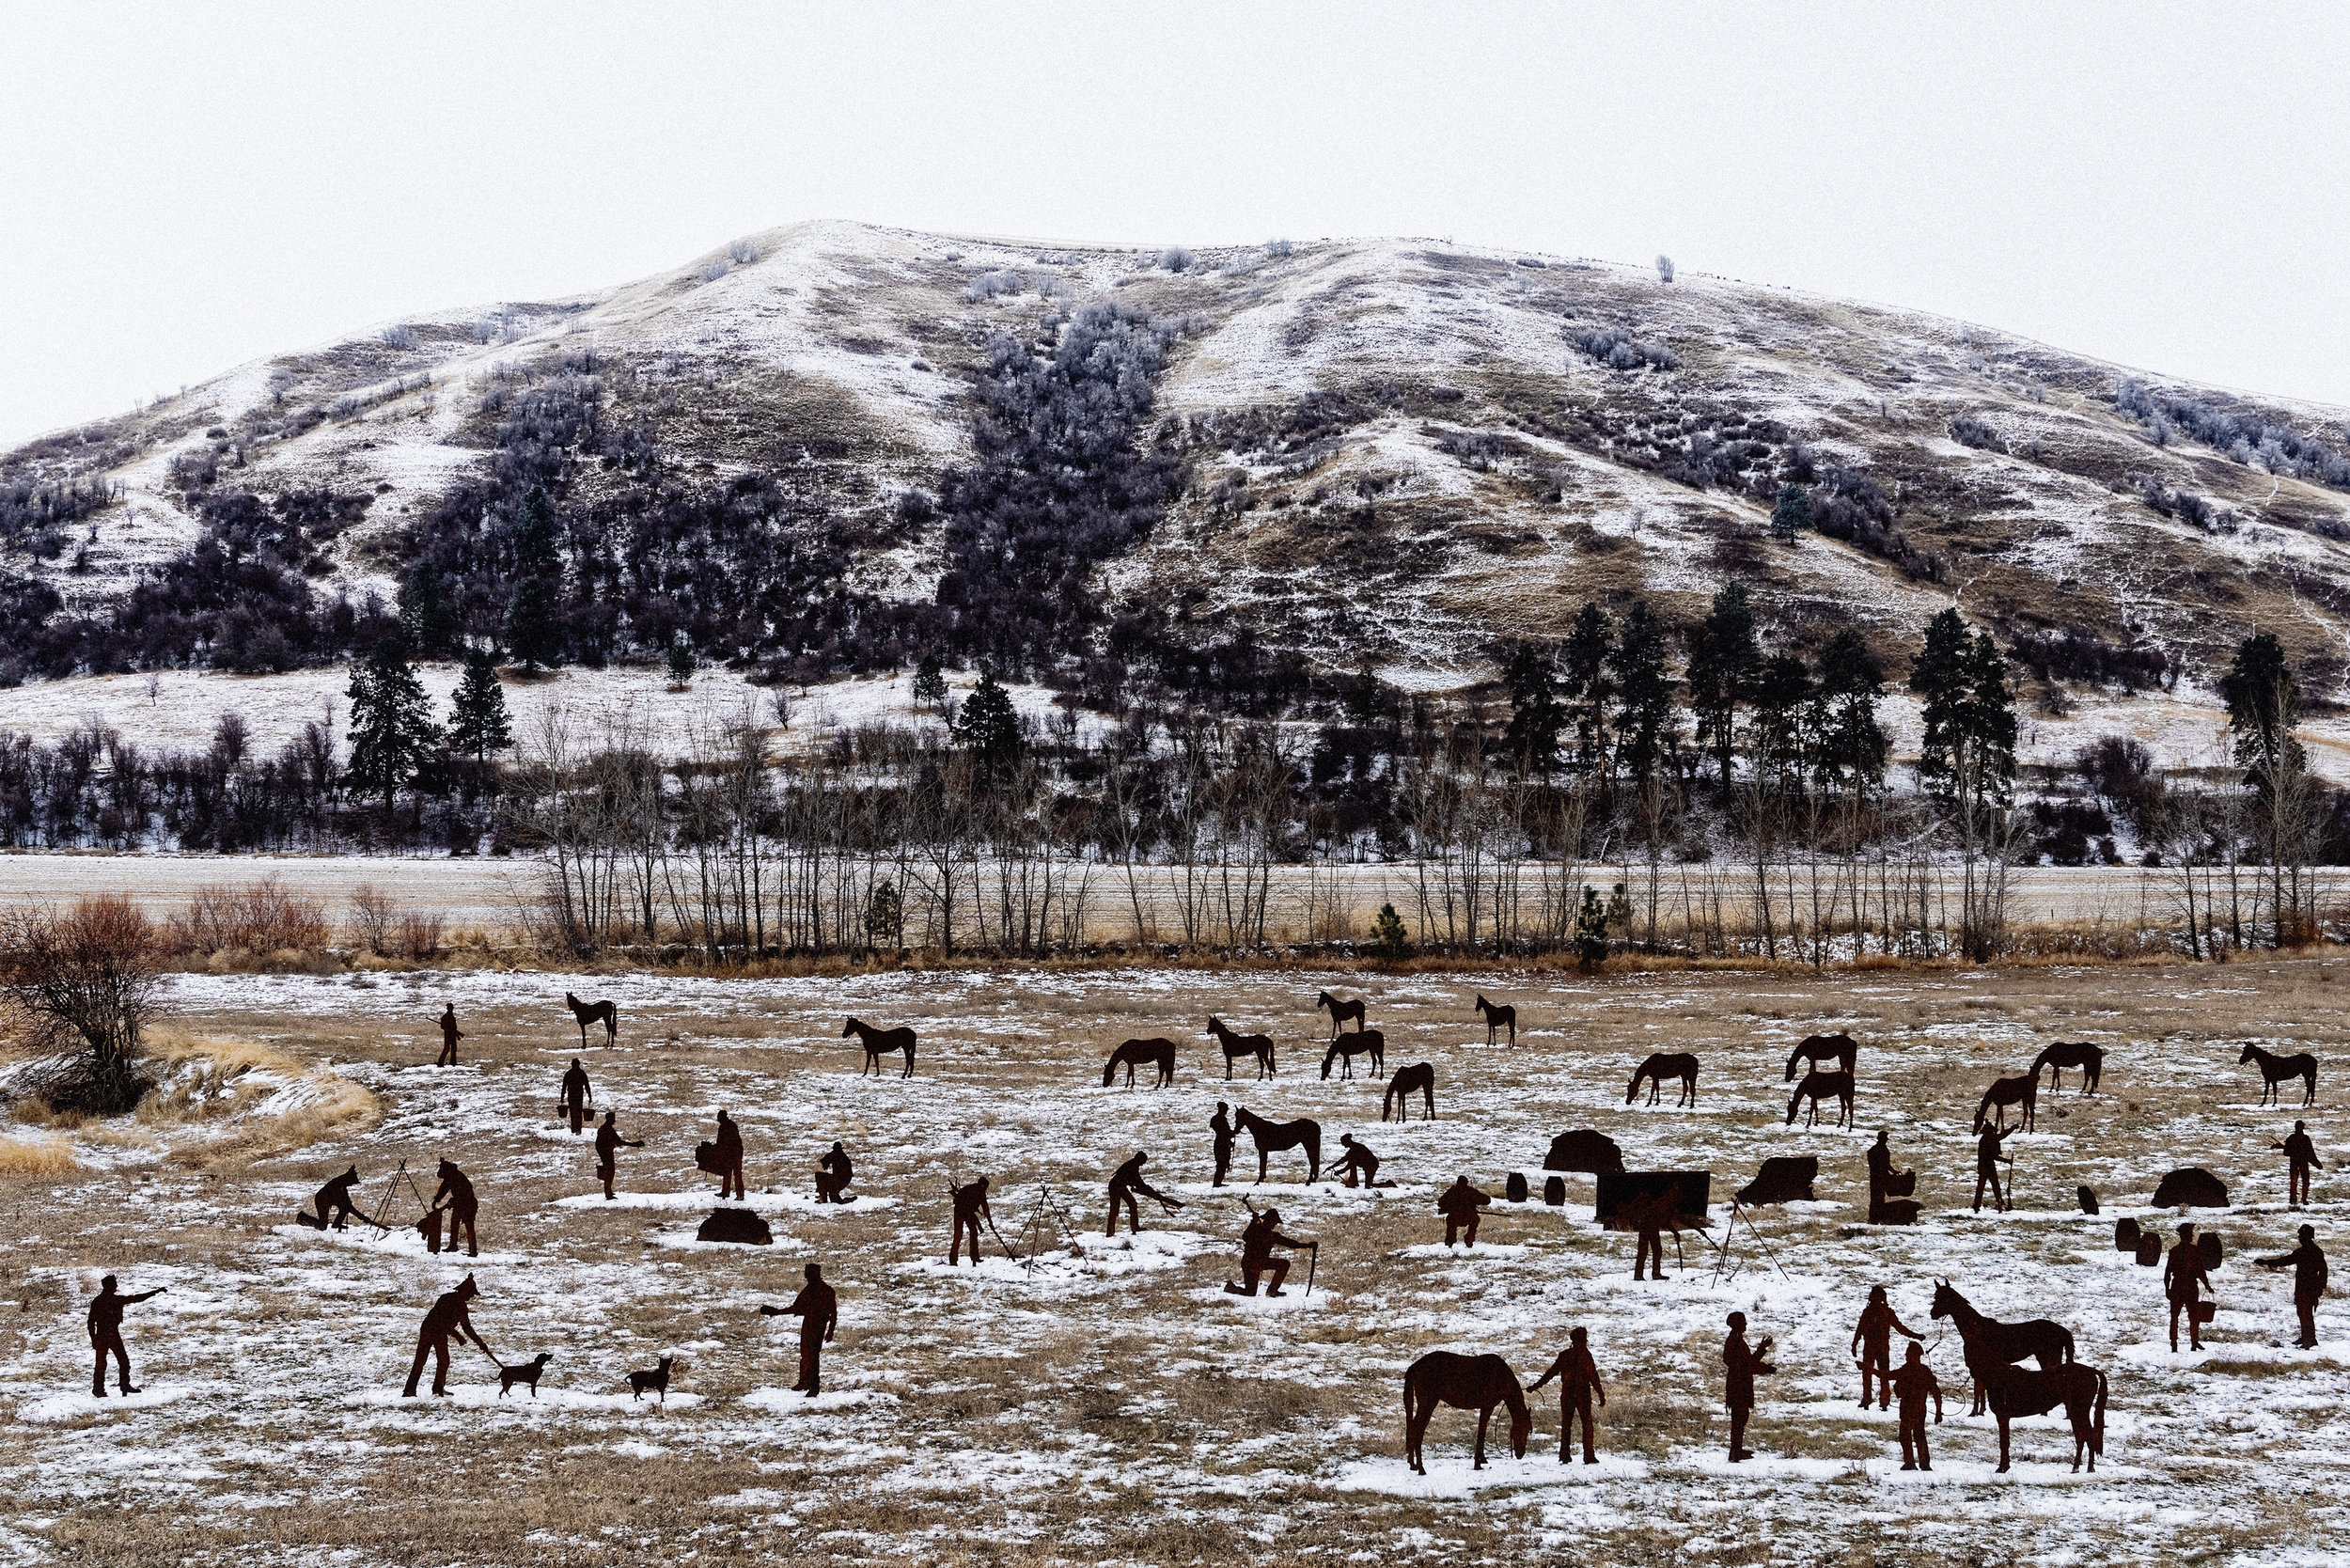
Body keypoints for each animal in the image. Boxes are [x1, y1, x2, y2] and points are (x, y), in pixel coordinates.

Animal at [1401, 1354, 1532, 1476]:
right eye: (1523, 1430)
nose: (1521, 1454)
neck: (1500, 1375)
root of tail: (1414, 1367)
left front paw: (1482, 1459)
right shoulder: (1487, 1407)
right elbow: (1481, 1432)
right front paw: (1477, 1464)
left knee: (1412, 1426)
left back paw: (1413, 1465)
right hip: (1428, 1403)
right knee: (1418, 1429)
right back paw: (1421, 1468)